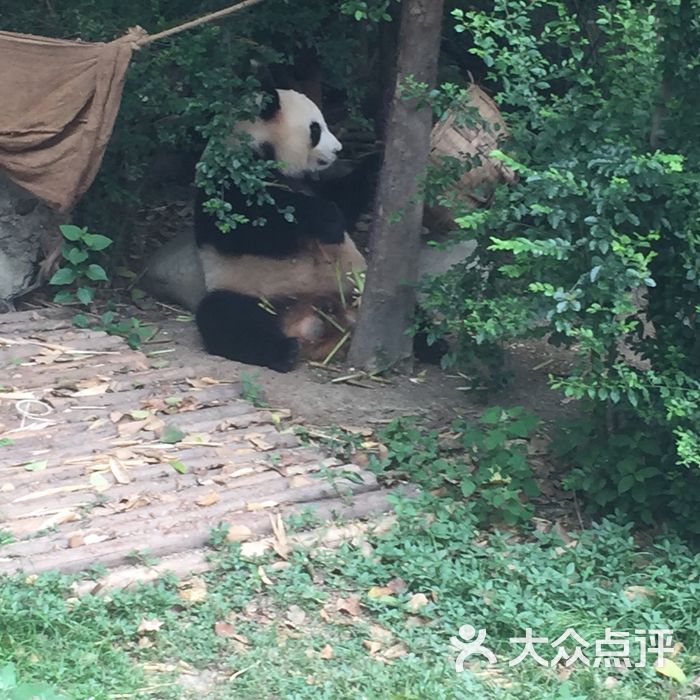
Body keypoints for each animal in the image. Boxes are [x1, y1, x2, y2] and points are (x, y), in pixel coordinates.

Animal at [191, 87, 378, 372]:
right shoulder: (224, 183)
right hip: (254, 293)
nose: (338, 149)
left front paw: (375, 164)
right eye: (316, 129)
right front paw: (328, 221)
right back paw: (283, 351)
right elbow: (246, 231)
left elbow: (344, 199)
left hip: (355, 289)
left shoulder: (310, 183)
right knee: (224, 317)